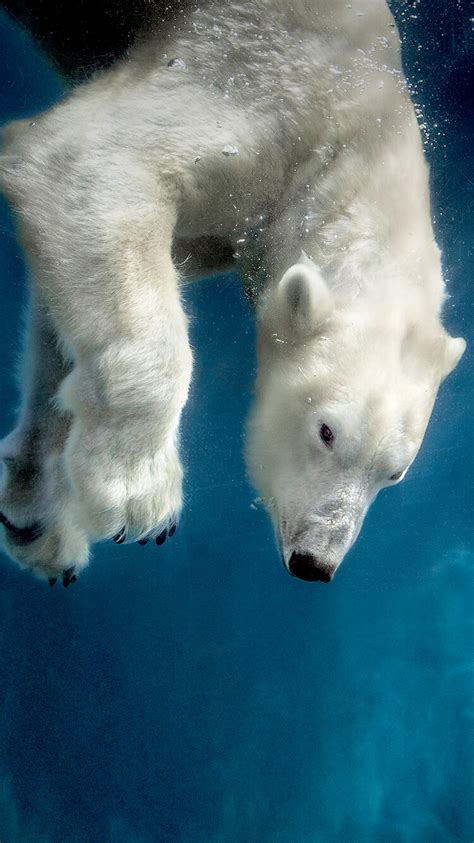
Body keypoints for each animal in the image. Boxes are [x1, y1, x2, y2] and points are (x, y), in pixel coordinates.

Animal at [0, 0, 466, 584]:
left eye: (394, 473)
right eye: (326, 431)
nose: (314, 562)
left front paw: (39, 517)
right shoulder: (249, 74)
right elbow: (86, 161)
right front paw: (140, 495)